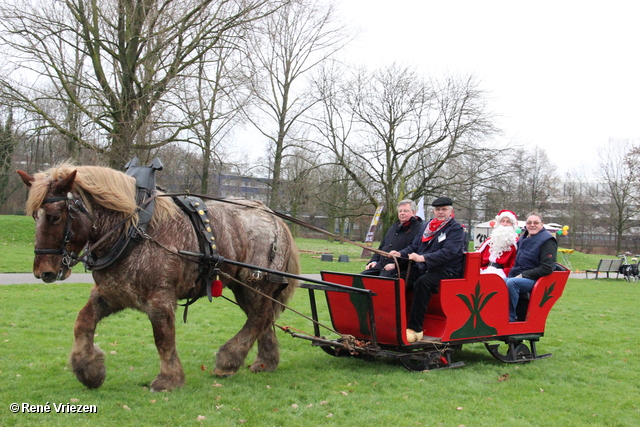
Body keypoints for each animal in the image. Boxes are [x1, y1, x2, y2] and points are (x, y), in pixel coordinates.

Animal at [16, 164, 302, 392]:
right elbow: (83, 323)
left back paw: (229, 359)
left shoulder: (160, 298)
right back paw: (265, 362)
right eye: (34, 216)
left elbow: (163, 337)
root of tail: (273, 217)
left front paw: (169, 379)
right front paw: (88, 369)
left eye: (54, 216)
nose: (43, 272)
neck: (134, 229)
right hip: (243, 286)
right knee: (262, 317)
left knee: (259, 317)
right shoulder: (111, 293)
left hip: (256, 282)